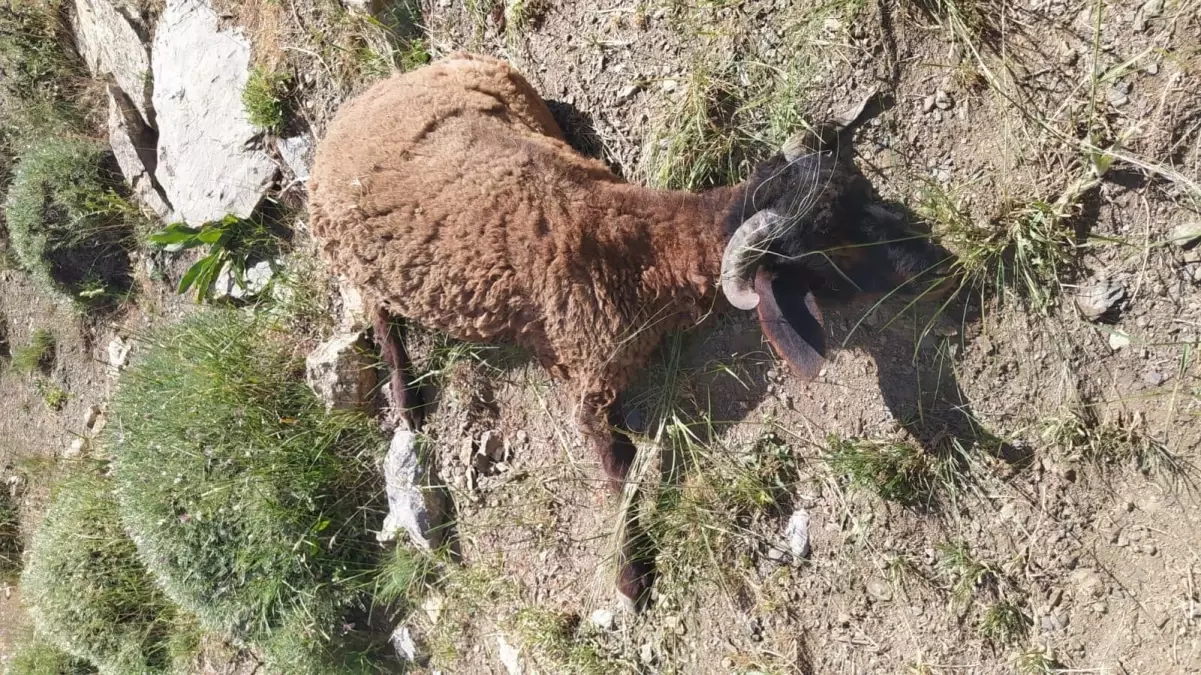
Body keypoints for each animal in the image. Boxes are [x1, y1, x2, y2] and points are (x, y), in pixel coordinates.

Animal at [312, 52, 955, 605]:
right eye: (831, 249)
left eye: (864, 193)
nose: (939, 262)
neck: (632, 242)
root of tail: (347, 113)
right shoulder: (593, 388)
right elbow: (620, 476)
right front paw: (631, 578)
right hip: (357, 265)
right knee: (378, 320)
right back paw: (407, 399)